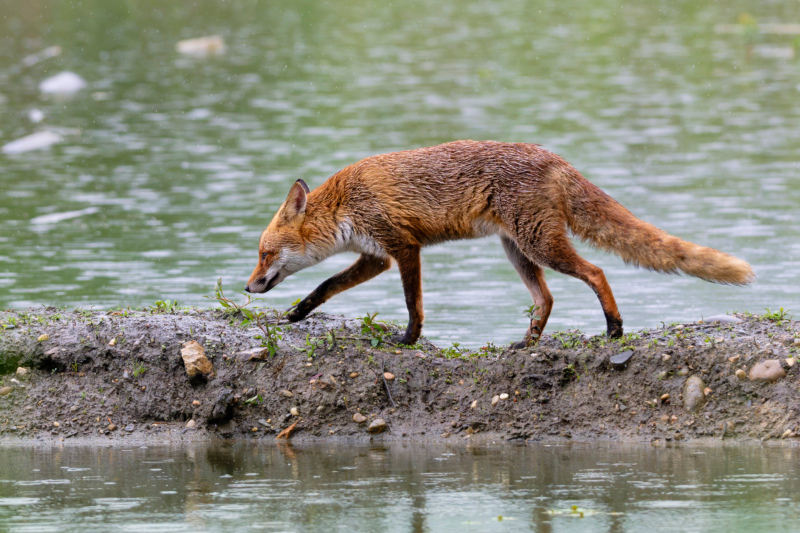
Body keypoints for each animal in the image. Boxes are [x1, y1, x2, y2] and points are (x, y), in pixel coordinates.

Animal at [245, 140, 754, 348]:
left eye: (265, 253)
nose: (248, 287)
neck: (346, 204)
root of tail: (555, 157)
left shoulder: (403, 248)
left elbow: (413, 304)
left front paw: (409, 340)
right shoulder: (375, 257)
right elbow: (325, 287)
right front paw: (297, 313)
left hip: (539, 244)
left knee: (596, 272)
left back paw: (614, 328)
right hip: (519, 250)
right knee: (546, 299)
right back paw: (527, 343)